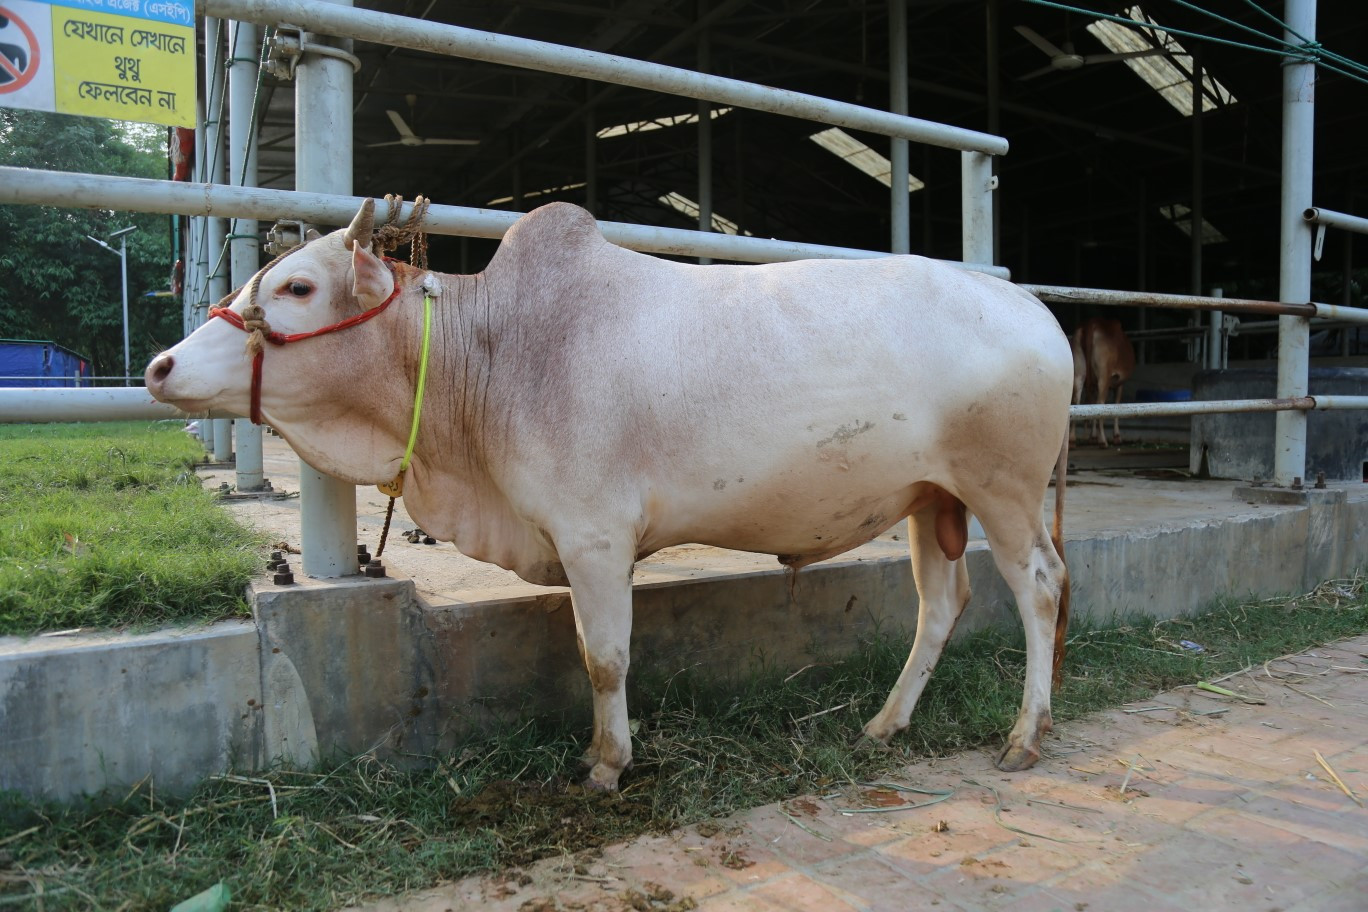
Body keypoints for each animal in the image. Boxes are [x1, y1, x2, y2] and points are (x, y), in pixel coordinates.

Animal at [146, 199, 1074, 791]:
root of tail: (1034, 308)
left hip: (1004, 491)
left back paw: (1024, 735)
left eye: (298, 287)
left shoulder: (593, 540)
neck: (494, 350)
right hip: (930, 500)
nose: (160, 366)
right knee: (940, 603)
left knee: (1038, 588)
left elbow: (604, 658)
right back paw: (886, 722)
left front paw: (605, 763)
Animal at [1078, 317, 1135, 447]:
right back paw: (1103, 441)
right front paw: (1117, 436)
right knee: (1100, 404)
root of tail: (1092, 323)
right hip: (1104, 376)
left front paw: (1092, 436)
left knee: (1079, 401)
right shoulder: (1119, 383)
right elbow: (1116, 405)